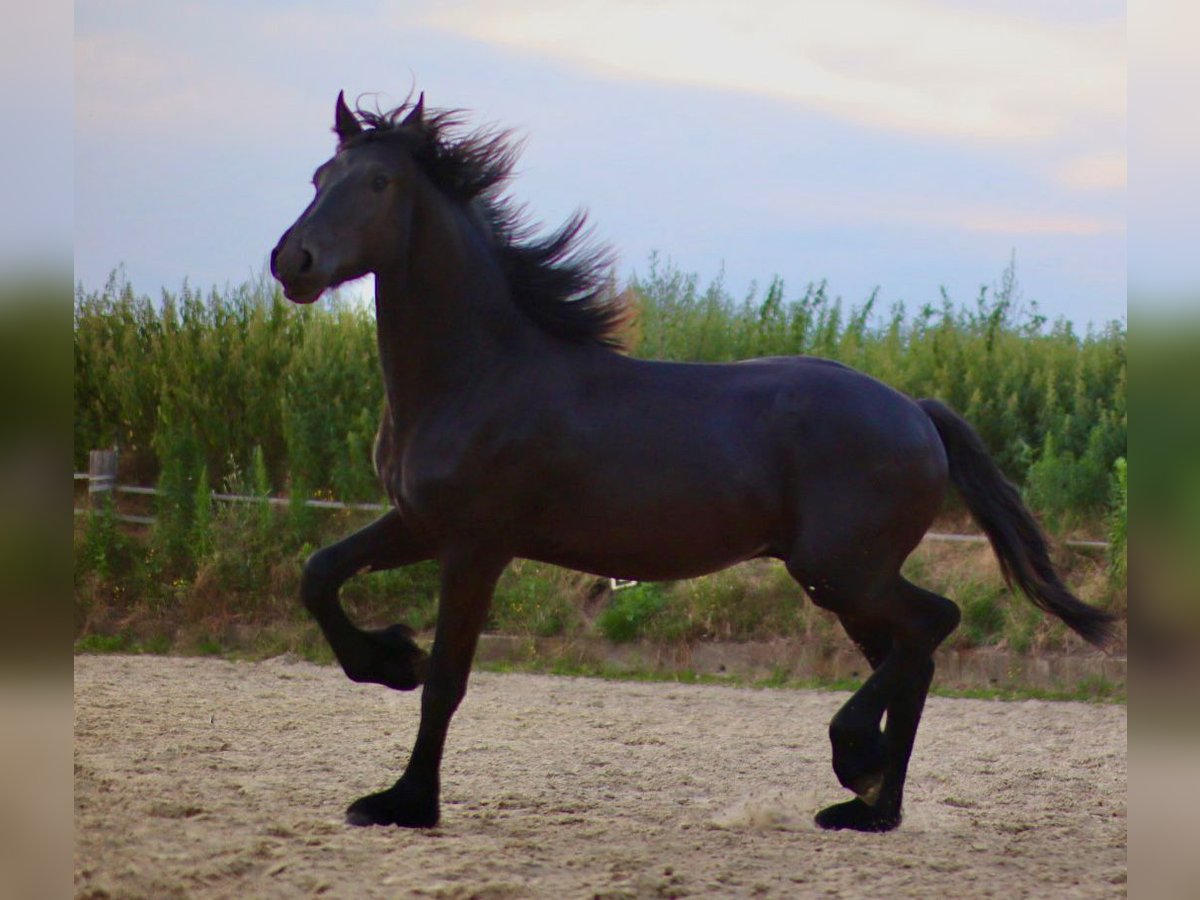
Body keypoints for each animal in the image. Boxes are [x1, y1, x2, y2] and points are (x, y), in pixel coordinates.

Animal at [267, 95, 1108, 835]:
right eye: (318, 176)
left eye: (380, 182)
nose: (291, 260)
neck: (478, 374)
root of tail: (918, 413)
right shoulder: (419, 523)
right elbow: (319, 573)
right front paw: (387, 660)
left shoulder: (475, 546)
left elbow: (446, 679)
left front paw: (404, 799)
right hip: (847, 579)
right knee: (913, 654)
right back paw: (870, 806)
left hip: (841, 569)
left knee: (932, 626)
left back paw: (855, 763)